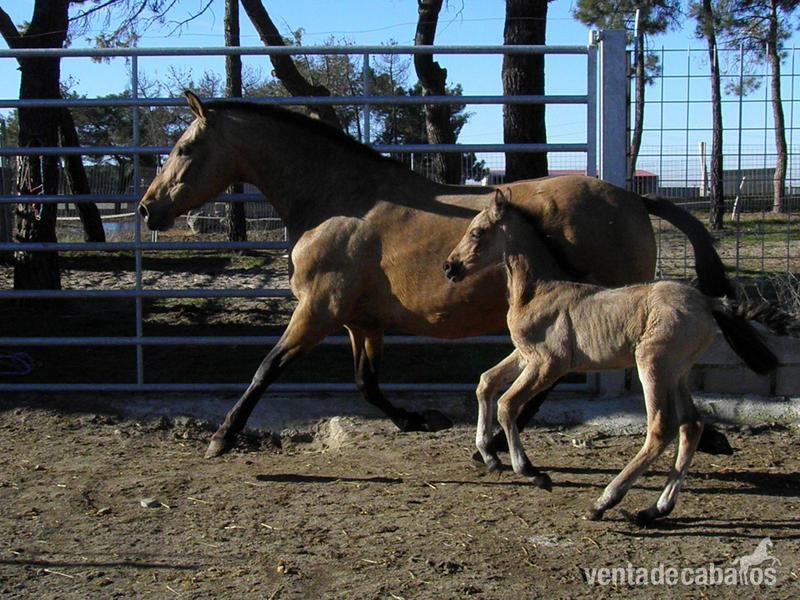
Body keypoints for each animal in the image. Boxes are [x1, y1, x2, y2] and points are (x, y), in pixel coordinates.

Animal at [138, 91, 735, 460]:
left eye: (185, 147)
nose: (147, 210)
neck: (339, 201)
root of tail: (634, 198)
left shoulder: (316, 311)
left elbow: (266, 368)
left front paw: (222, 437)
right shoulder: (362, 323)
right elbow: (367, 384)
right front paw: (416, 420)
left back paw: (499, 442)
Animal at [444, 189, 778, 525]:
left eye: (477, 232)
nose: (449, 266)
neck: (539, 290)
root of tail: (709, 302)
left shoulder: (549, 363)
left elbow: (507, 404)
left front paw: (532, 472)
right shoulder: (526, 355)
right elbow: (486, 382)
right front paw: (489, 456)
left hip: (653, 364)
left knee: (661, 428)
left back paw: (604, 501)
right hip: (677, 372)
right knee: (691, 425)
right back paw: (656, 508)